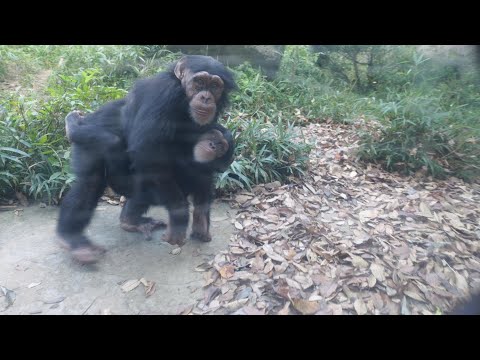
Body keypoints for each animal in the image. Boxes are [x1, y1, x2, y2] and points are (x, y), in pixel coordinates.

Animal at [57, 54, 237, 262]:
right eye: (199, 82)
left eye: (215, 86)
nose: (206, 97)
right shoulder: (165, 94)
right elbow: (148, 153)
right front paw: (180, 216)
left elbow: (200, 179)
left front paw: (200, 221)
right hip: (88, 141)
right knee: (91, 181)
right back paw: (74, 240)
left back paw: (130, 221)